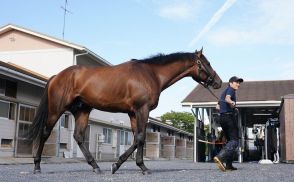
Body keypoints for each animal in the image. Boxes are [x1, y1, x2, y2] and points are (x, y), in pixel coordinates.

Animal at [27, 48, 222, 175]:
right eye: (207, 63)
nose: (218, 82)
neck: (151, 74)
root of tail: (56, 76)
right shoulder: (142, 110)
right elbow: (140, 137)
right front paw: (131, 166)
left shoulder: (133, 113)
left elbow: (137, 138)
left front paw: (129, 165)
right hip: (56, 110)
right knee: (45, 133)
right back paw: (37, 166)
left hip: (82, 111)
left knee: (79, 137)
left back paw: (96, 167)